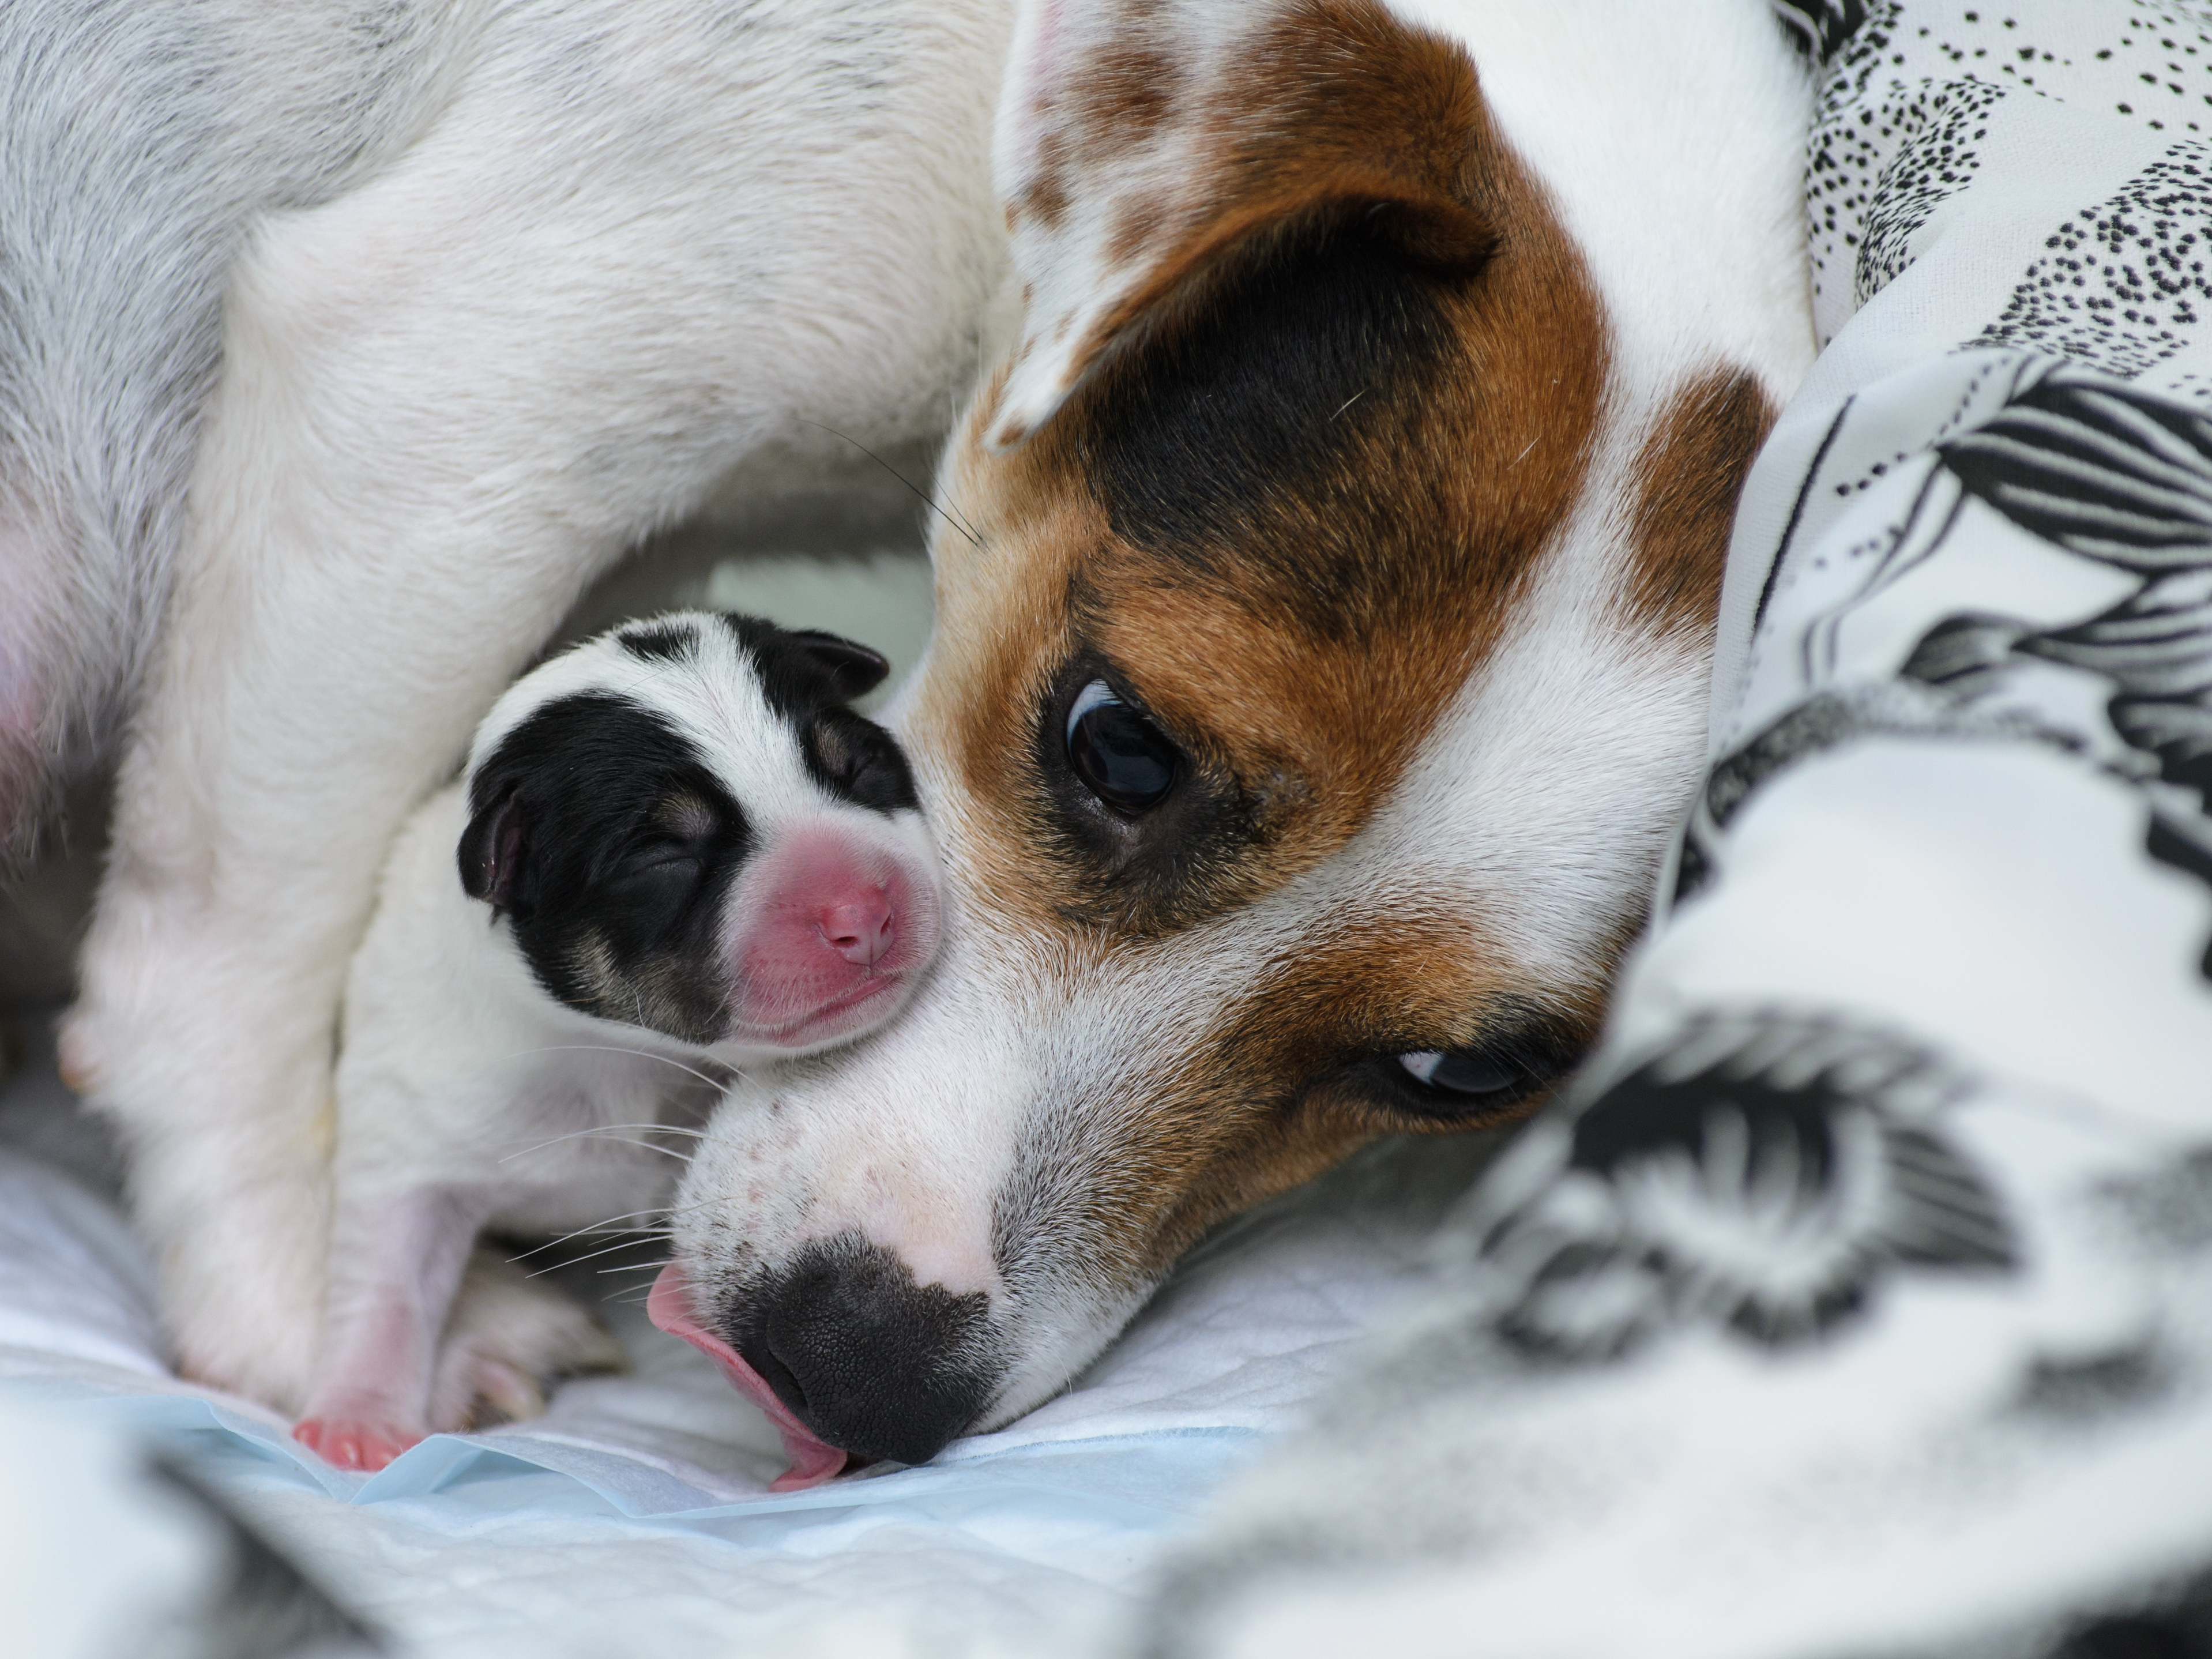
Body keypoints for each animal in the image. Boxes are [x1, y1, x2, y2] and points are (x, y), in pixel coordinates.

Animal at [292, 619, 933, 1477]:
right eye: (661, 852)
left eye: (859, 764)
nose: (864, 913)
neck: (621, 1047)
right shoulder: (411, 1130)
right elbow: (388, 1276)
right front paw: (357, 1418)